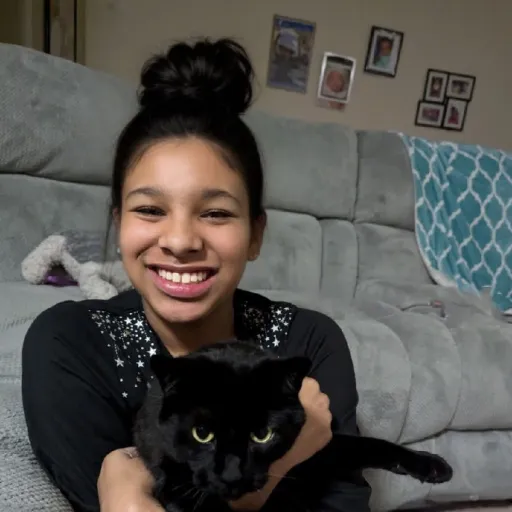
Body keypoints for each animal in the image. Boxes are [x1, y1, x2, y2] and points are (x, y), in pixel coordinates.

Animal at [133, 340, 453, 512]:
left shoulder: (323, 447)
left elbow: (368, 444)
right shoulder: (167, 473)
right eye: (202, 434)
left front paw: (430, 465)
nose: (231, 476)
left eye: (262, 435)